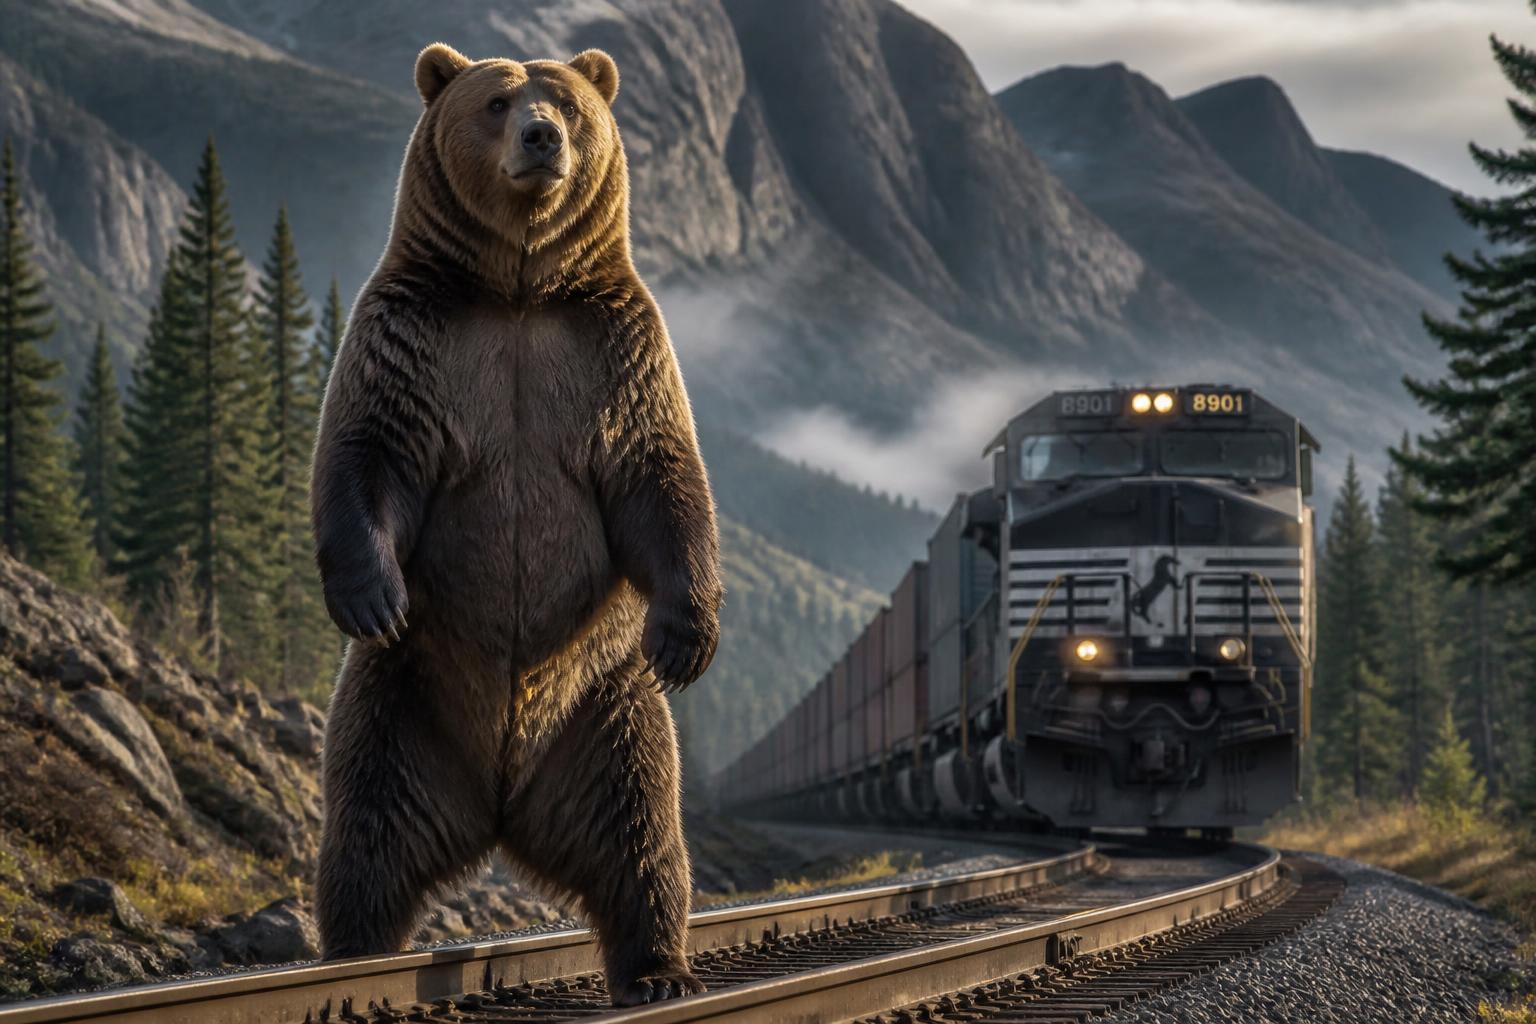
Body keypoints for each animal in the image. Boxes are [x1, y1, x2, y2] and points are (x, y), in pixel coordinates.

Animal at [309, 42, 722, 1007]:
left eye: (565, 104)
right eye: (497, 102)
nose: (541, 138)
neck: (518, 292)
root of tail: (498, 808)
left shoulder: (612, 352)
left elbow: (661, 477)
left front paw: (688, 637)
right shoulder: (418, 339)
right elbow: (368, 450)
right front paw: (372, 597)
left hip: (605, 708)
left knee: (642, 834)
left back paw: (660, 969)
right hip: (403, 703)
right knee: (366, 840)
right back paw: (351, 958)